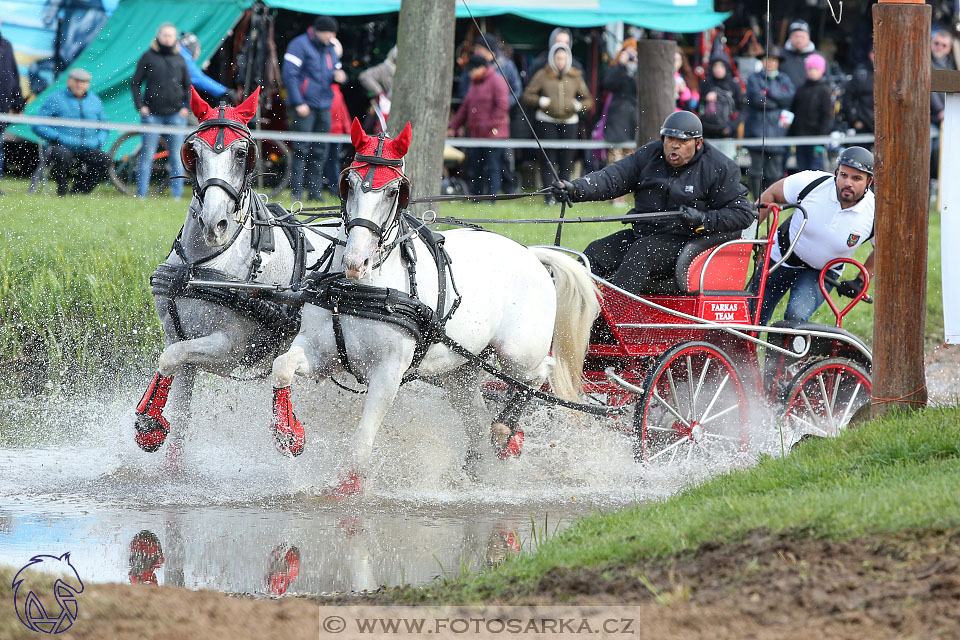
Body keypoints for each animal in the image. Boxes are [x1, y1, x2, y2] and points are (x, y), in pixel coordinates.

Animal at [134, 87, 326, 458]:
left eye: (241, 154)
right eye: (193, 151)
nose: (215, 223)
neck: (200, 267)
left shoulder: (229, 349)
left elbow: (170, 358)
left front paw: (150, 419)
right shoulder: (178, 338)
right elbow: (178, 412)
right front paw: (153, 425)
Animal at [270, 121, 596, 500]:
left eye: (394, 191)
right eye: (347, 182)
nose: (355, 262)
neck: (360, 289)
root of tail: (532, 253)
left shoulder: (388, 373)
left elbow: (362, 441)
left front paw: (348, 488)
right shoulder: (321, 352)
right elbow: (282, 367)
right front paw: (289, 435)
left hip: (519, 352)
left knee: (538, 372)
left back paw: (507, 434)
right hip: (460, 373)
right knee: (476, 419)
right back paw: (479, 463)